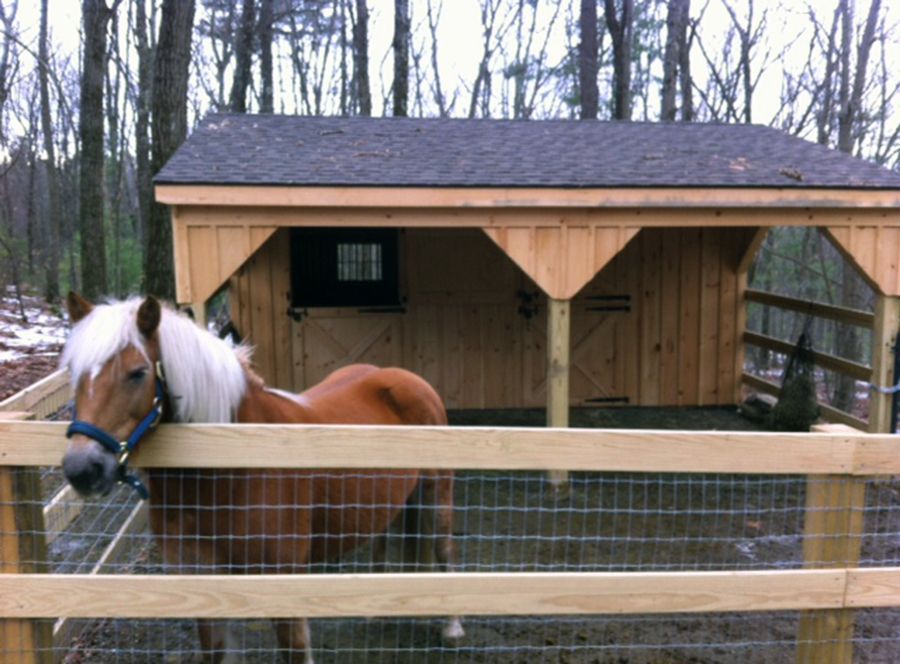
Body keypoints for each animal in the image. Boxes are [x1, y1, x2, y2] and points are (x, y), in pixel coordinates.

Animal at [59, 294, 464, 664]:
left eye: (138, 373)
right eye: (74, 374)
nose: (82, 469)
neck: (229, 473)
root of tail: (402, 377)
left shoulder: (281, 581)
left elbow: (295, 649)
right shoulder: (201, 577)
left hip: (437, 492)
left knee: (444, 547)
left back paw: (452, 627)